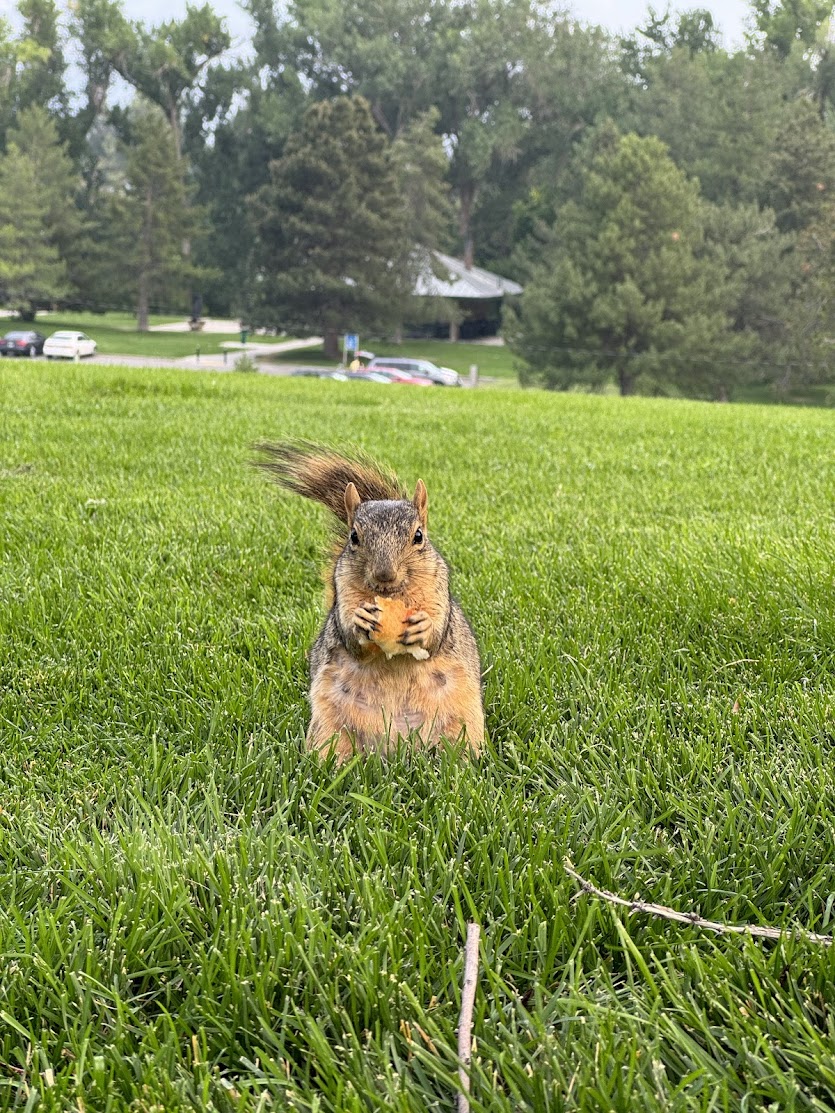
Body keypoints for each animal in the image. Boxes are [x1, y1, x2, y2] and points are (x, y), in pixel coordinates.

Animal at [258, 442, 487, 765]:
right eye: (354, 537)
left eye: (419, 536)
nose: (384, 574)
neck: (393, 596)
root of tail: (396, 747)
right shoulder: (342, 595)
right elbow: (351, 638)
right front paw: (361, 622)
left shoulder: (439, 590)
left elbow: (436, 635)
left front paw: (423, 626)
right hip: (329, 727)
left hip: (462, 724)